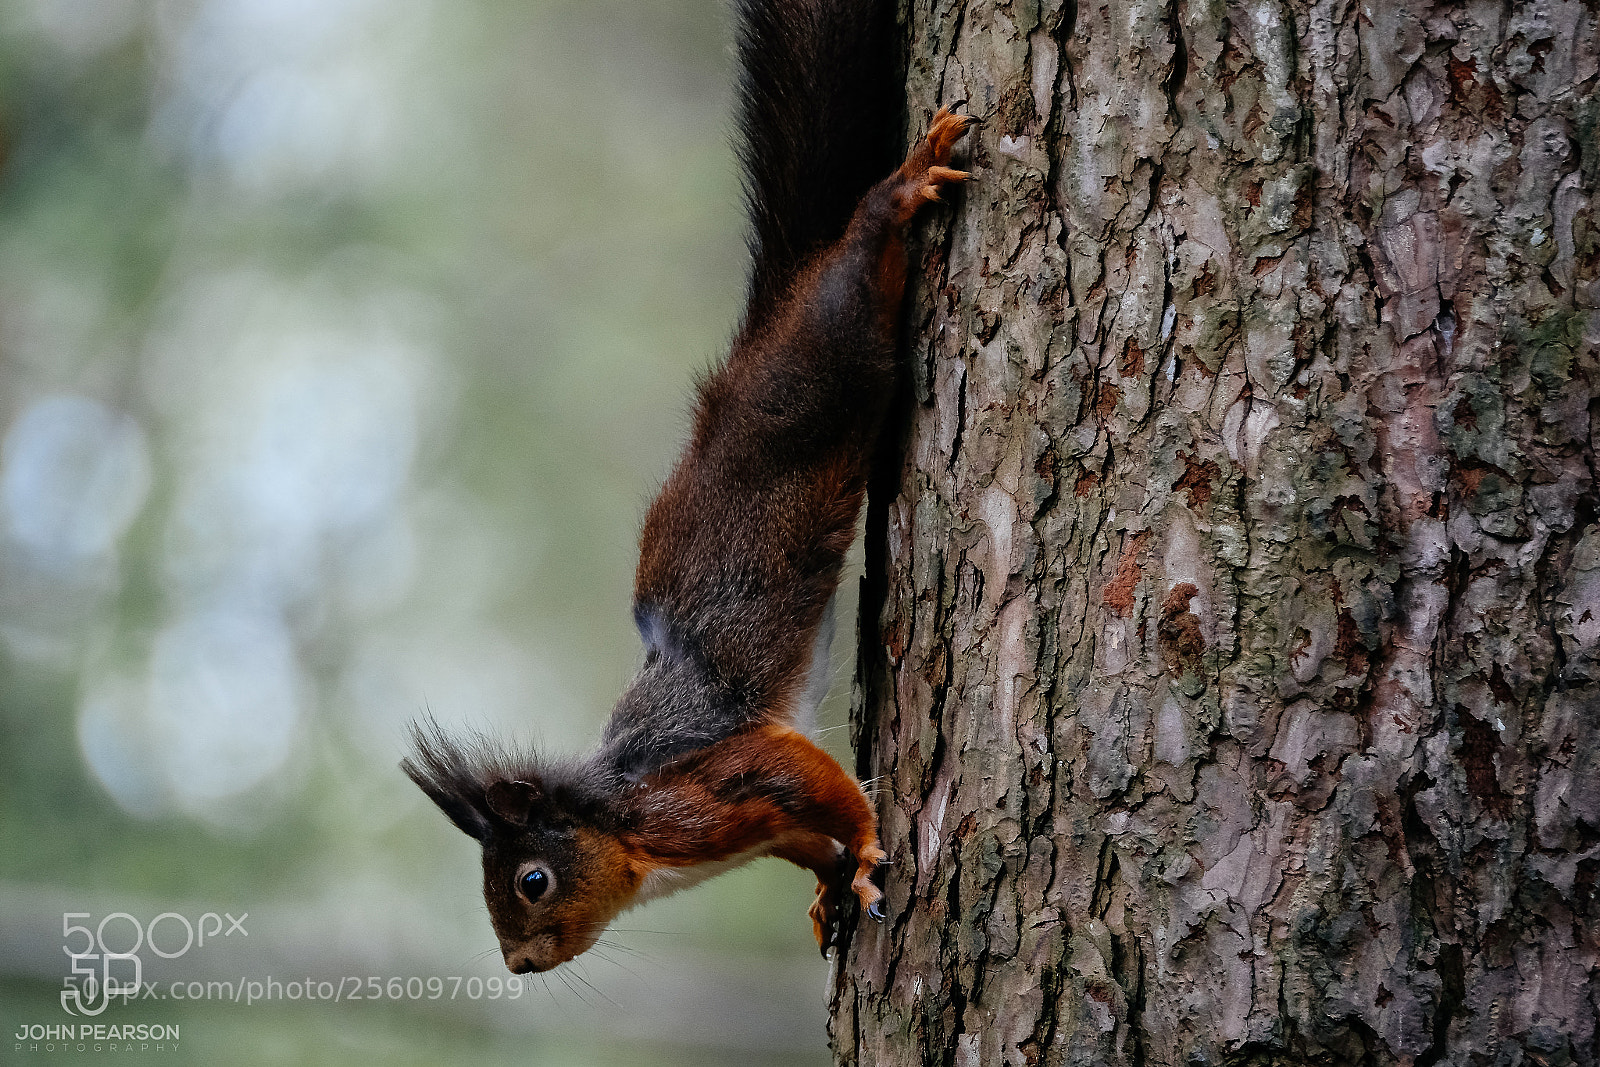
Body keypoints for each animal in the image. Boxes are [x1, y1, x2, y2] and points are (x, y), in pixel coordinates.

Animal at [402, 0, 973, 976]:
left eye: (531, 880)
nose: (518, 964)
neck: (625, 831)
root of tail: (760, 335)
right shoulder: (748, 829)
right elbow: (803, 837)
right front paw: (828, 884)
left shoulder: (708, 783)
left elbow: (810, 778)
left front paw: (863, 846)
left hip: (831, 355)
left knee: (857, 261)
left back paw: (899, 191)